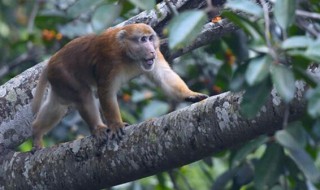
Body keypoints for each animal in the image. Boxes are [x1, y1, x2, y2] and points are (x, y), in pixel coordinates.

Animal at [31, 22, 209, 150]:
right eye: (143, 39)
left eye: (151, 38)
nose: (151, 49)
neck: (128, 54)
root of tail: (51, 61)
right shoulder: (109, 60)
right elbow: (105, 92)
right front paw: (116, 125)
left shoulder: (156, 55)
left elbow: (164, 76)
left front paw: (190, 94)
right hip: (63, 75)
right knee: (83, 95)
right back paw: (98, 128)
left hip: (59, 83)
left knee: (58, 106)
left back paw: (37, 130)